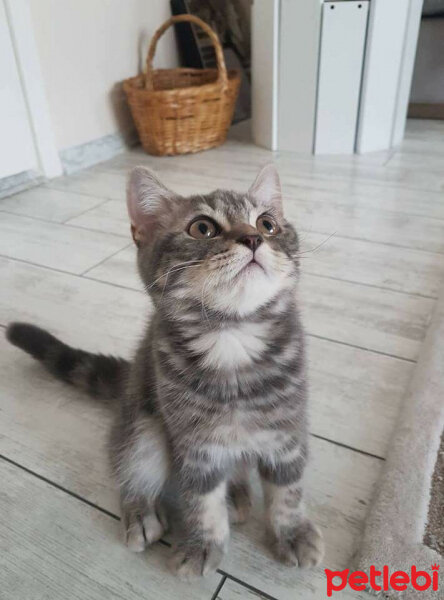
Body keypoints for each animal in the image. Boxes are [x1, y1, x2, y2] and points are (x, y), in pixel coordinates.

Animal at [6, 163, 322, 576]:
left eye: (268, 224)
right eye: (202, 228)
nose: (253, 237)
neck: (232, 336)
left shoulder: (287, 430)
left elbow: (288, 487)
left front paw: (292, 531)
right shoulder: (191, 440)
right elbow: (200, 496)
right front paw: (203, 543)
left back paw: (237, 491)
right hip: (143, 420)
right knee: (131, 460)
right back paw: (140, 510)